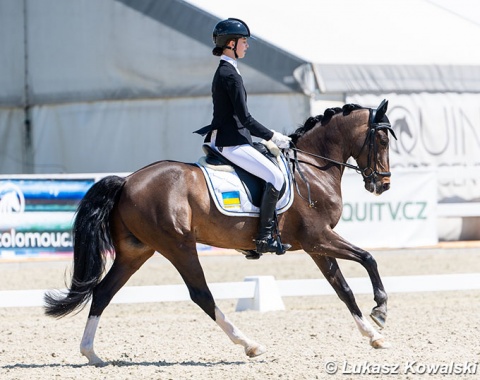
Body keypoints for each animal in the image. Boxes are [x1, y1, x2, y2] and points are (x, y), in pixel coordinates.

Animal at [45, 98, 396, 366]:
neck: (312, 168)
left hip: (136, 251)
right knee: (201, 294)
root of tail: (127, 181)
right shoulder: (318, 238)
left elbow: (343, 289)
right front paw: (380, 310)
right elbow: (368, 258)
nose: (383, 184)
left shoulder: (316, 246)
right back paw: (250, 344)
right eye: (382, 140)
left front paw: (374, 336)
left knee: (103, 292)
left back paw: (92, 354)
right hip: (178, 245)